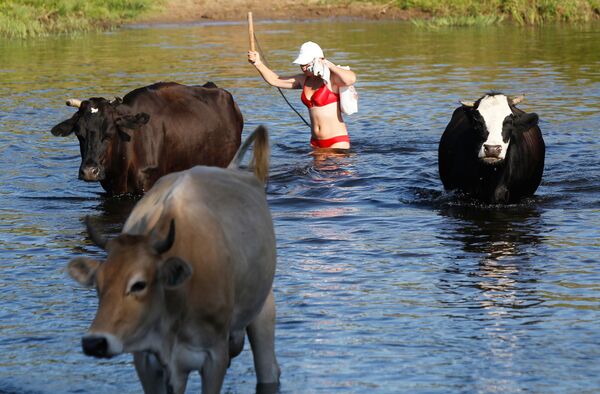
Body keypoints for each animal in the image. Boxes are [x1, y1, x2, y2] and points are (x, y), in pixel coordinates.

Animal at [68, 127, 278, 394]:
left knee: (268, 369)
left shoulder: (214, 356)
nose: (95, 342)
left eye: (139, 284)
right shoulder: (146, 361)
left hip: (263, 309)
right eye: (98, 284)